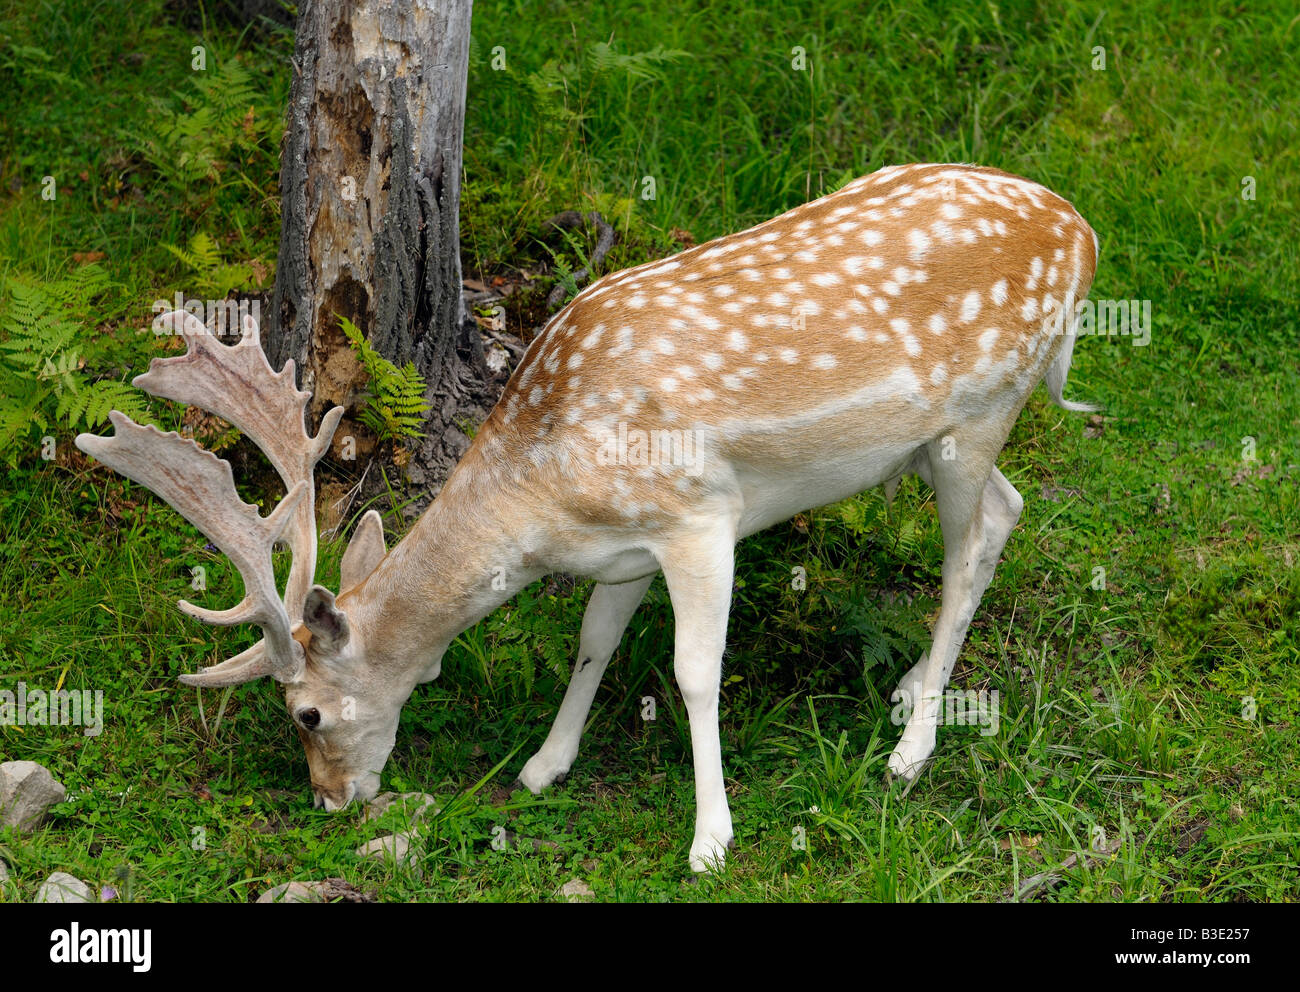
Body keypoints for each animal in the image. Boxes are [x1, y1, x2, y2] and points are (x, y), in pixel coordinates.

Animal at [76, 163, 1098, 873]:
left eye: (307, 714)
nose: (331, 802)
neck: (549, 494)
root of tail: (1084, 230)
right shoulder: (626, 548)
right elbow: (593, 641)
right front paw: (542, 766)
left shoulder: (700, 517)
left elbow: (693, 673)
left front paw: (711, 840)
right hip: (937, 441)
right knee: (1007, 510)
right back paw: (910, 690)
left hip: (980, 413)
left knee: (972, 544)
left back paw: (911, 750)